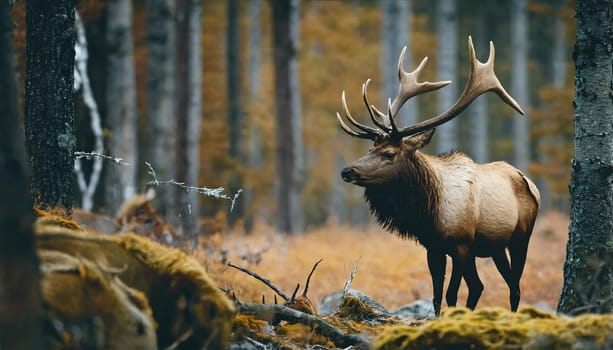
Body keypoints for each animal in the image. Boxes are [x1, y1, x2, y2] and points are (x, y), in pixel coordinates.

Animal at [340, 37, 540, 316]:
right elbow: (436, 296)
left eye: (390, 153)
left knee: (514, 286)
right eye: (370, 149)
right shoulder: (433, 247)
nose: (348, 170)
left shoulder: (461, 245)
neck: (430, 211)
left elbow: (451, 293)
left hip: (521, 236)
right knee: (483, 285)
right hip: (494, 247)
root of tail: (528, 181)